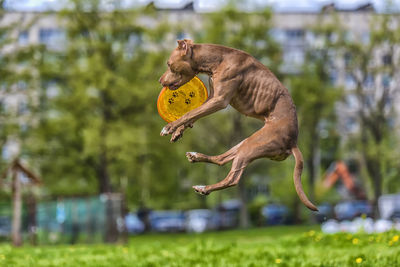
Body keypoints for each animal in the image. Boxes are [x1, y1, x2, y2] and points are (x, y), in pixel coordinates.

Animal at [158, 39, 318, 211]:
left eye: (169, 64)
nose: (160, 81)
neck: (217, 60)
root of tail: (293, 143)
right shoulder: (212, 98)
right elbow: (194, 114)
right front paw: (178, 131)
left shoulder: (220, 100)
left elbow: (189, 113)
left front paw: (170, 127)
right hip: (245, 144)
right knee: (221, 160)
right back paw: (196, 157)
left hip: (251, 147)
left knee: (233, 179)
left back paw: (204, 188)